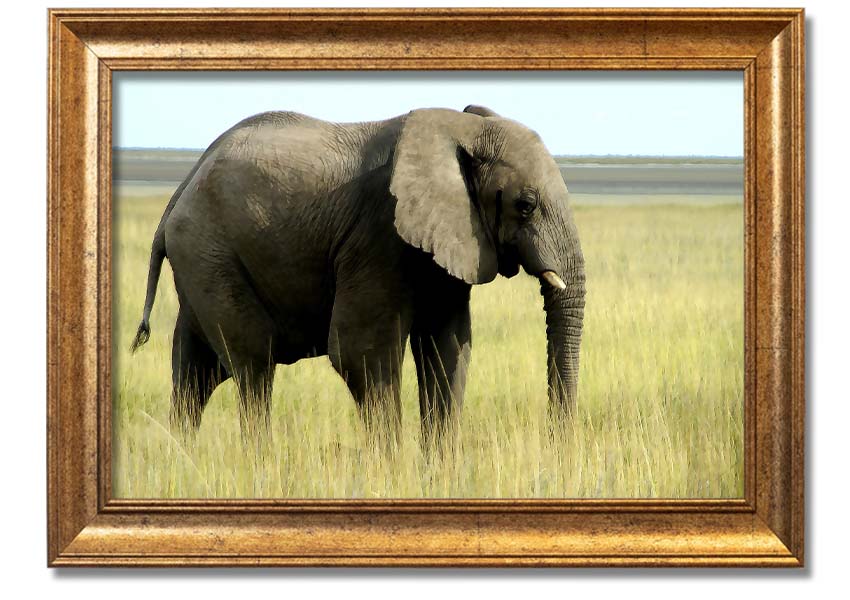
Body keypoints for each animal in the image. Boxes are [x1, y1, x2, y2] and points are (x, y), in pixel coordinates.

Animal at [131, 104, 585, 448]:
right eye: (525, 205)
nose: (555, 444)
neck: (461, 128)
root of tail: (179, 192)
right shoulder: (378, 233)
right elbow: (361, 353)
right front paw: (394, 472)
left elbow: (449, 346)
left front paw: (438, 472)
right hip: (210, 253)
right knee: (253, 364)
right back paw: (257, 461)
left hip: (202, 263)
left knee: (197, 370)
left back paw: (184, 457)